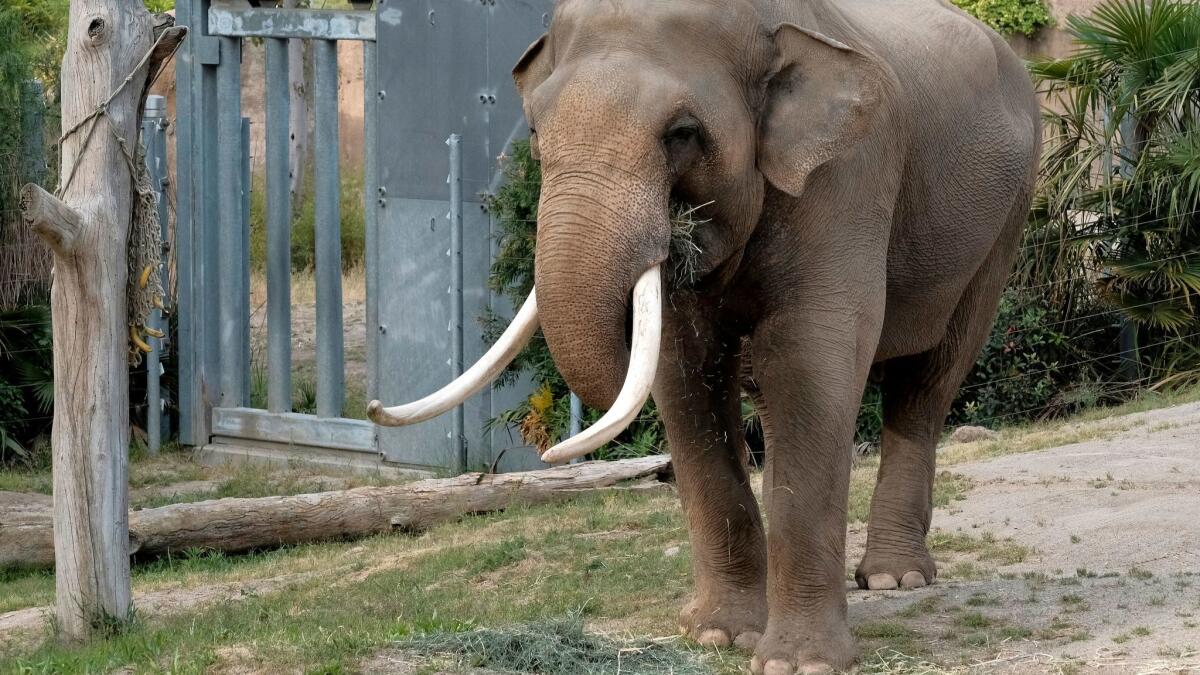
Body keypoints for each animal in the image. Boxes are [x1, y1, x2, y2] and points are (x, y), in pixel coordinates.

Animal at [369, 0, 1036, 667]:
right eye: (533, 131)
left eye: (682, 133)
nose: (548, 454)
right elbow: (686, 374)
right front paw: (718, 636)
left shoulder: (850, 175)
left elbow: (808, 362)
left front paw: (799, 662)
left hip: (1006, 224)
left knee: (928, 379)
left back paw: (896, 578)